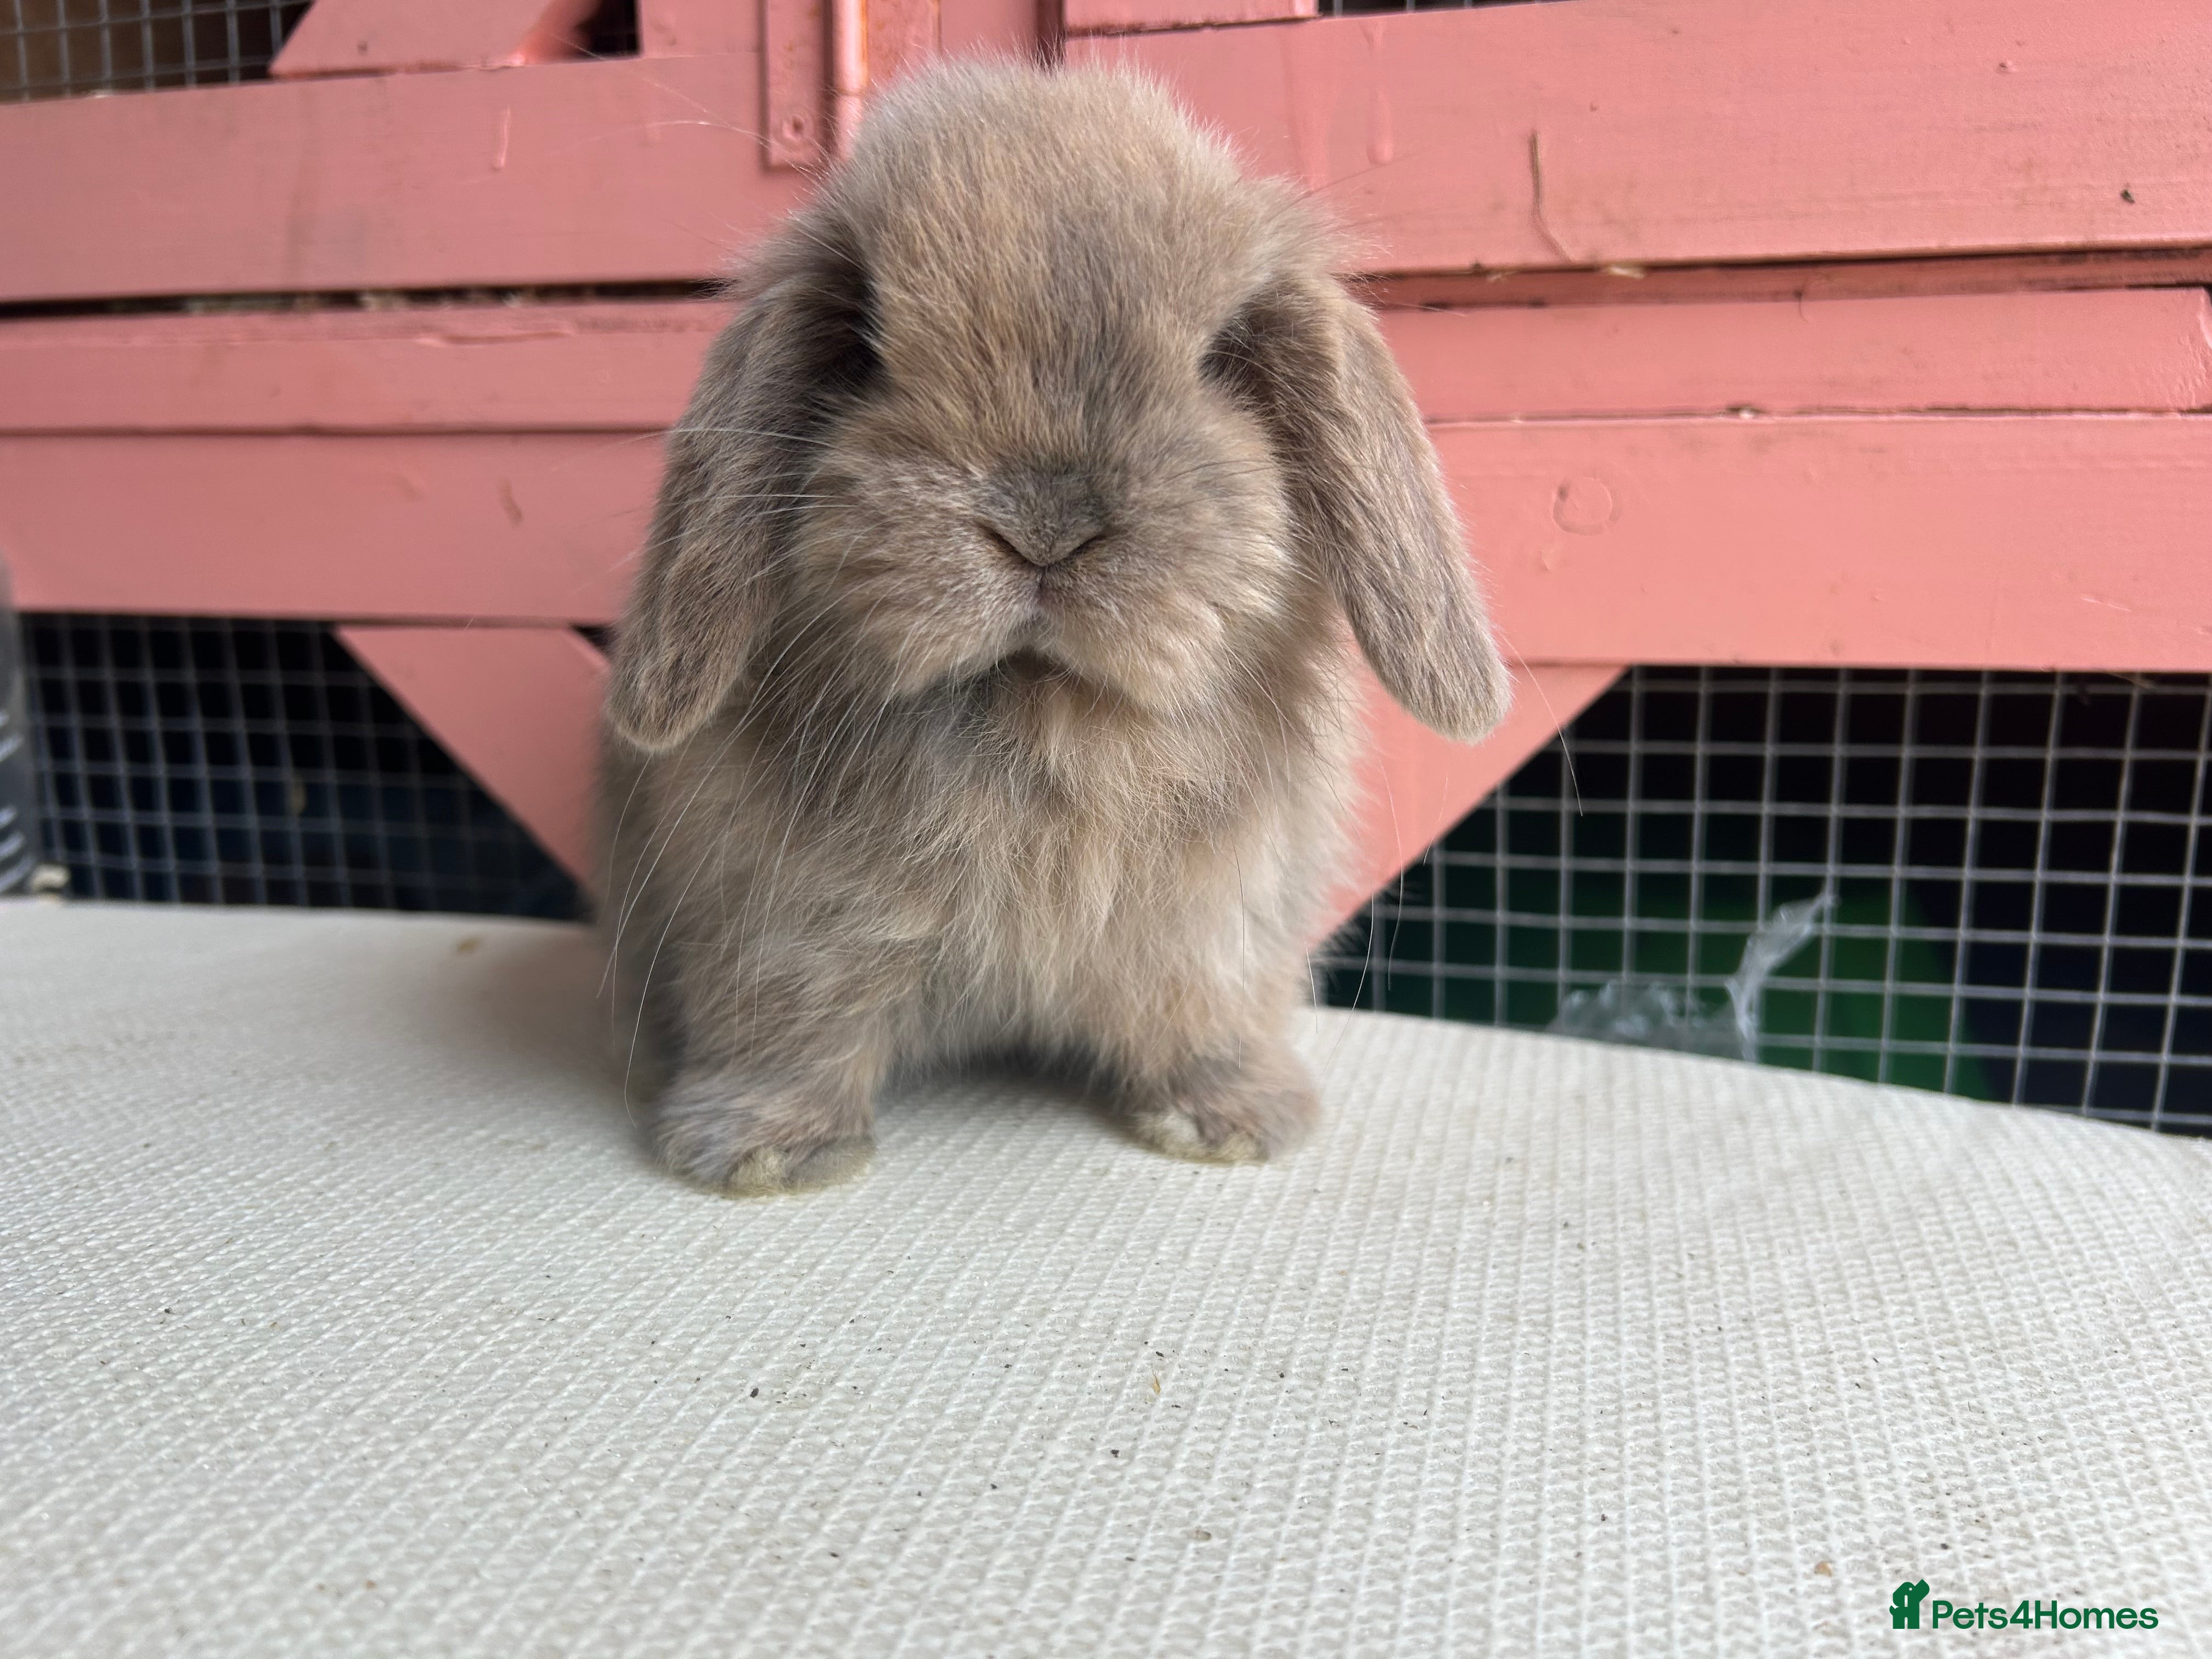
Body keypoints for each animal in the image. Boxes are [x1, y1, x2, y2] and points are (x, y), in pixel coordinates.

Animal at [600, 59, 1508, 1194]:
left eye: (1220, 356)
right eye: (861, 348)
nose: (1043, 522)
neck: (1048, 724)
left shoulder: (1218, 931)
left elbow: (1206, 1017)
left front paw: (1231, 1121)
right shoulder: (776, 924)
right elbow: (788, 1027)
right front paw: (759, 1149)